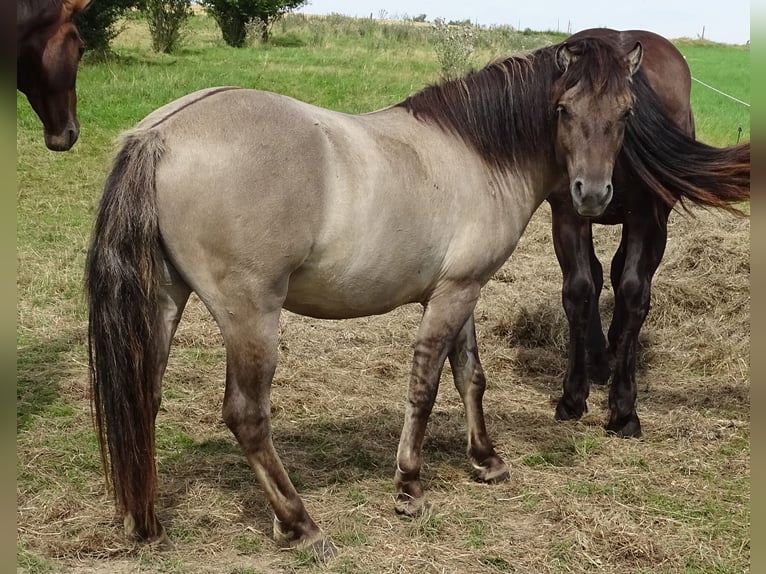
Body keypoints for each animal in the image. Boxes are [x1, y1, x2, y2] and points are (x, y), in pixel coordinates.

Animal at [548, 29, 752, 438]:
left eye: (627, 112)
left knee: (618, 275)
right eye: (563, 109)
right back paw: (599, 358)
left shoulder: (649, 219)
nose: (592, 191)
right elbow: (579, 289)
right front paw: (573, 395)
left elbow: (632, 292)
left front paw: (624, 408)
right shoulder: (567, 214)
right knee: (598, 276)